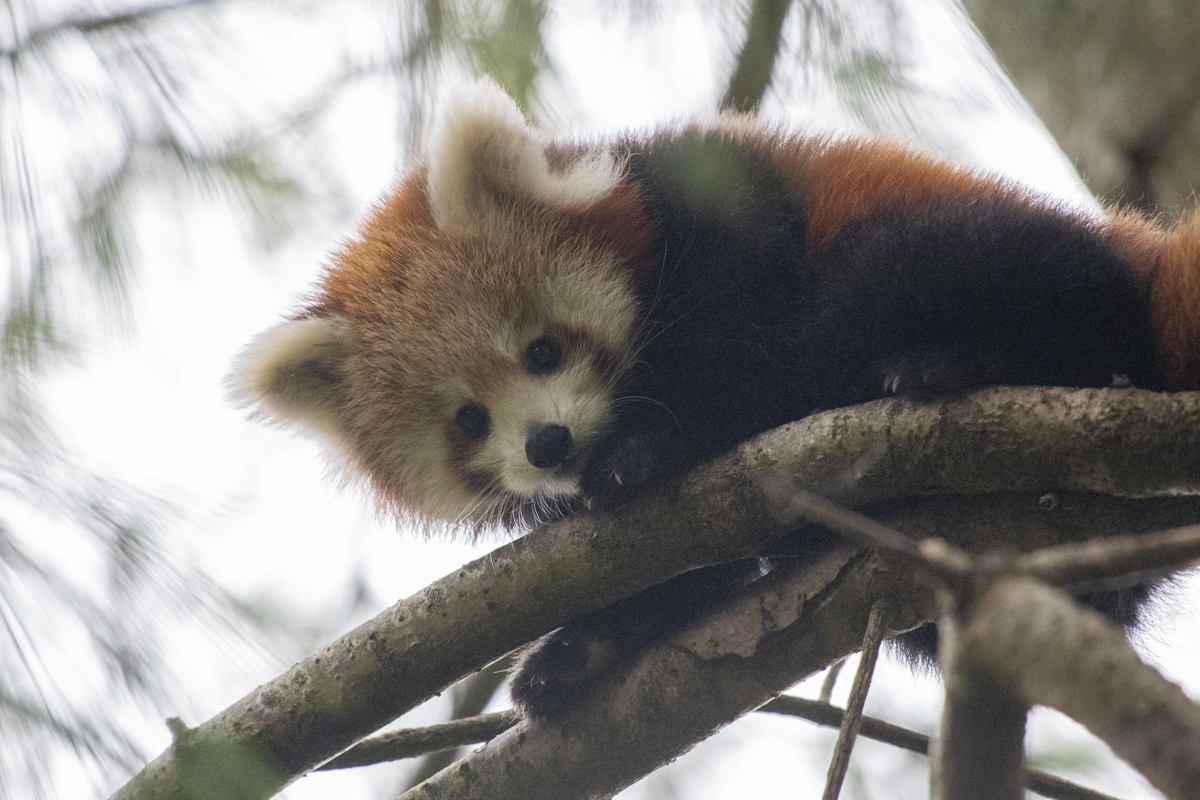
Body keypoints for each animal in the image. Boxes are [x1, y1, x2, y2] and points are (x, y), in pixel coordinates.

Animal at [229, 81, 1200, 714]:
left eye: (542, 349)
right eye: (469, 419)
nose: (549, 445)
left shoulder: (722, 211)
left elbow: (742, 362)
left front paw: (646, 453)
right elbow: (682, 570)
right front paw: (581, 650)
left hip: (991, 252)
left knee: (906, 287)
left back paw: (950, 363)